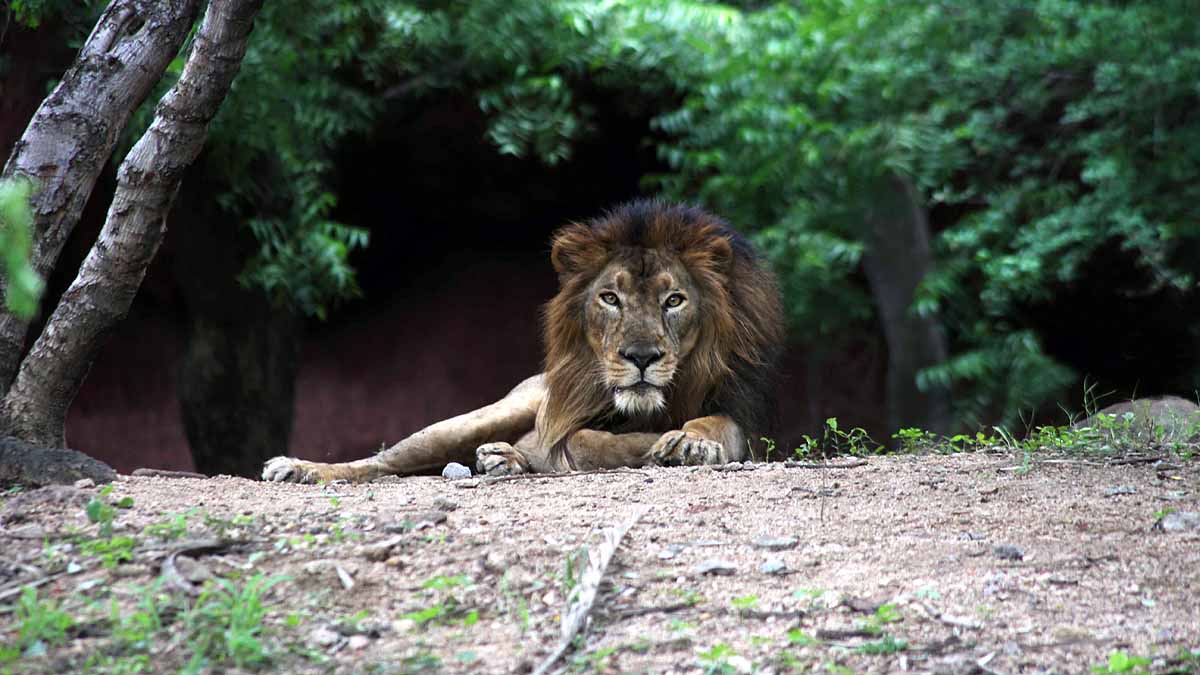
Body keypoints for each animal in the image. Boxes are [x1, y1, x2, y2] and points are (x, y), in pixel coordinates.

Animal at [262, 200, 785, 483]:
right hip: (485, 415)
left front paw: (689, 443)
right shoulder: (569, 424)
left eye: (673, 300)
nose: (640, 357)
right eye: (610, 298)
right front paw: (647, 443)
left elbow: (715, 425)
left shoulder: (743, 414)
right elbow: (581, 440)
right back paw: (300, 468)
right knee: (383, 462)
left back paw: (503, 460)